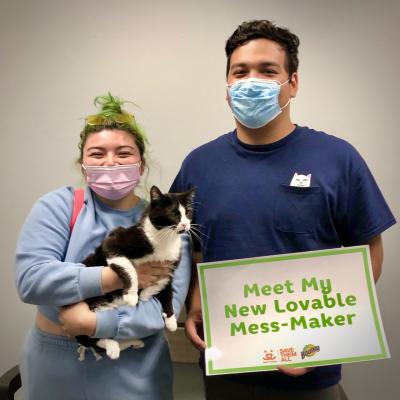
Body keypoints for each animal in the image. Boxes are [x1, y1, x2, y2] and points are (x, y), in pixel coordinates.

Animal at [76, 186, 195, 360]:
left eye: (188, 212)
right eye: (174, 214)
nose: (186, 225)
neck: (165, 239)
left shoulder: (170, 265)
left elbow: (166, 287)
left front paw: (171, 319)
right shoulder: (114, 242)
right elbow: (129, 268)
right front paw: (133, 295)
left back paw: (130, 342)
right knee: (90, 338)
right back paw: (112, 348)